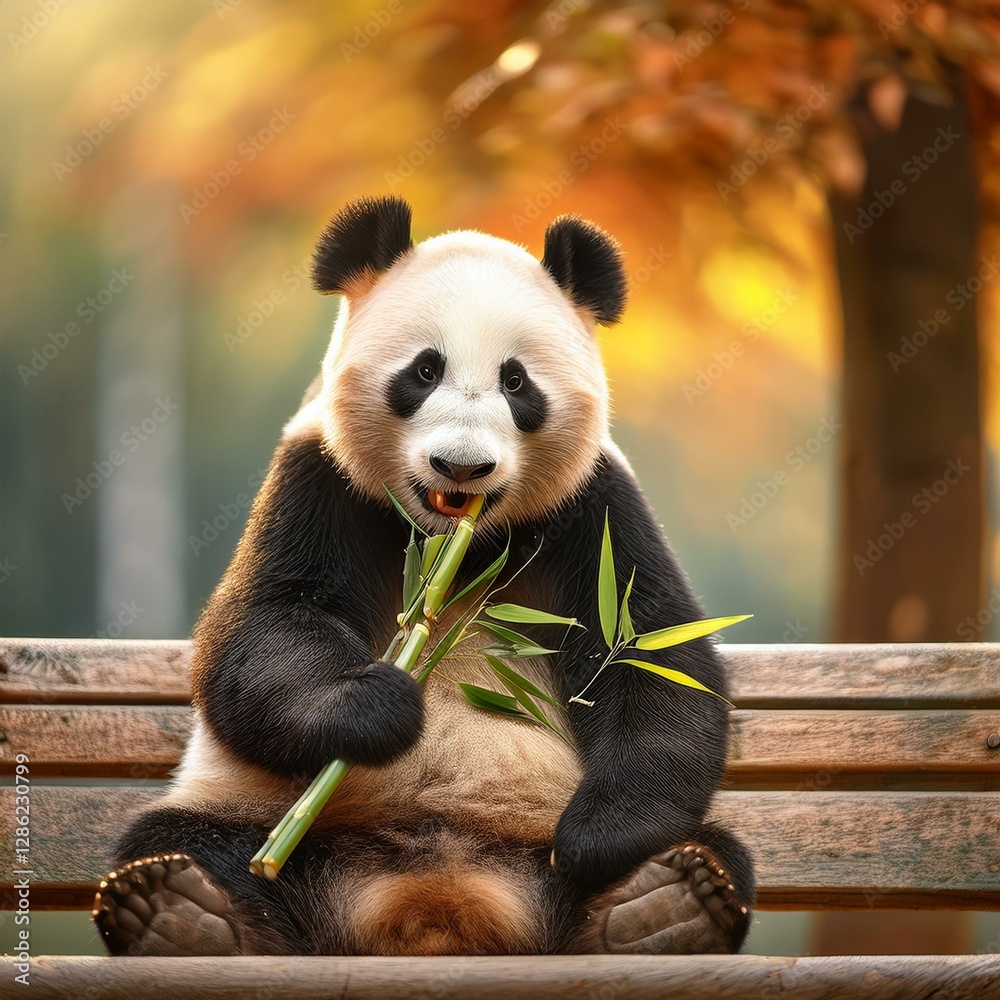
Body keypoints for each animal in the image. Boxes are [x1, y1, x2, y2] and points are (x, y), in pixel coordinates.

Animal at [94, 195, 755, 957]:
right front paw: (375, 701)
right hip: (268, 816)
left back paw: (664, 908)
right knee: (179, 838)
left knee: (712, 847)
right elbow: (265, 628)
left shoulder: (596, 509)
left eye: (516, 381)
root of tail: (434, 903)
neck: (452, 550)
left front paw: (597, 836)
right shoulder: (321, 478)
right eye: (424, 372)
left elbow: (654, 652)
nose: (460, 467)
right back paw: (184, 913)